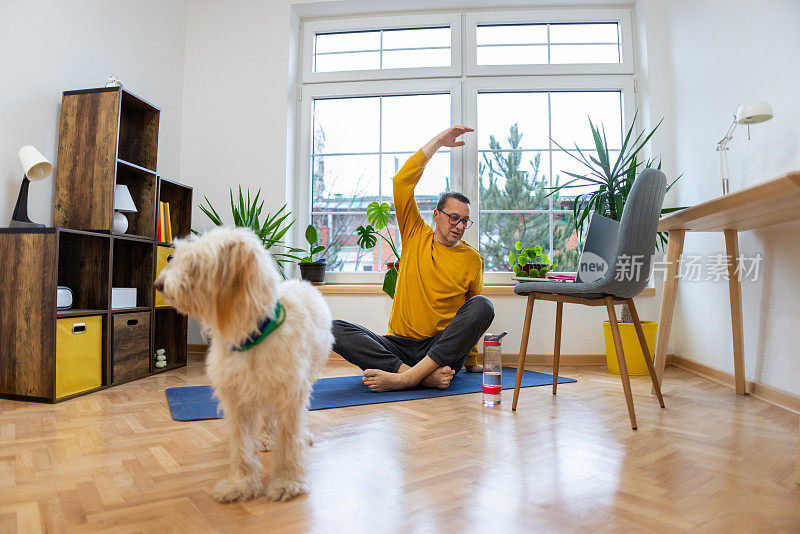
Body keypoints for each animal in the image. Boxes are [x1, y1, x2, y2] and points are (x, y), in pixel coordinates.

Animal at [155, 228, 332, 504]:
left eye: (195, 263)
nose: (158, 285)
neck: (251, 335)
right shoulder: (236, 397)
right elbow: (240, 447)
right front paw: (241, 485)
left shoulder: (290, 393)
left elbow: (290, 440)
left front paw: (288, 482)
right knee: (267, 418)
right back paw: (265, 438)